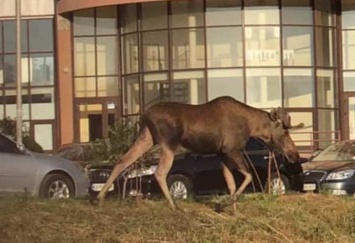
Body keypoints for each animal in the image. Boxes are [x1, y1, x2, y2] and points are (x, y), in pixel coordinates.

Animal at [96, 96, 302, 212]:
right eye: (285, 132)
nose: (295, 154)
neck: (252, 127)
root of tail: (144, 115)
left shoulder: (222, 154)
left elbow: (231, 183)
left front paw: (234, 211)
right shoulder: (231, 150)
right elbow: (248, 176)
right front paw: (224, 204)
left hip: (146, 137)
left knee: (122, 160)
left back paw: (100, 197)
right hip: (168, 144)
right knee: (160, 172)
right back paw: (174, 206)